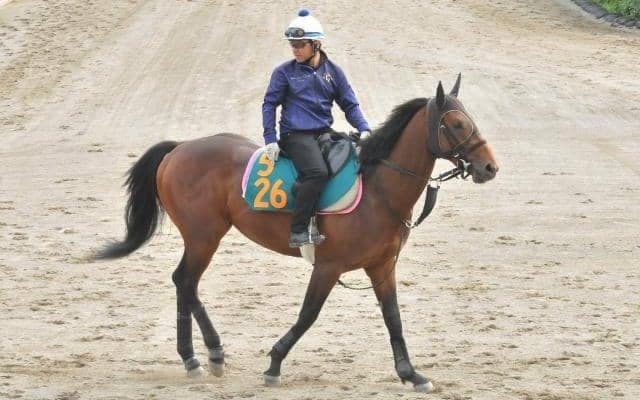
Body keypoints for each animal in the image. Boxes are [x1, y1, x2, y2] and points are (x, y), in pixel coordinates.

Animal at [94, 74, 498, 392]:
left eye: (471, 120)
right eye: (456, 124)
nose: (489, 167)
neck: (378, 188)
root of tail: (180, 148)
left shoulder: (382, 267)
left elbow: (393, 319)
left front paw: (410, 374)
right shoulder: (328, 267)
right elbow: (308, 315)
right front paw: (274, 363)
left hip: (200, 238)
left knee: (183, 282)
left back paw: (194, 356)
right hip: (204, 237)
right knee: (187, 282)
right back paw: (209, 352)